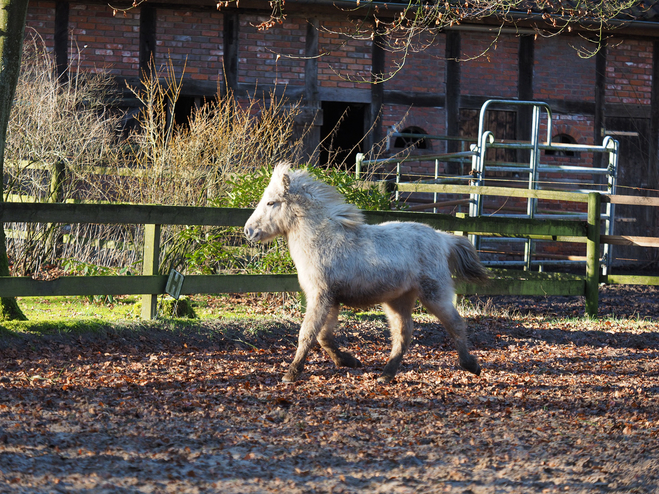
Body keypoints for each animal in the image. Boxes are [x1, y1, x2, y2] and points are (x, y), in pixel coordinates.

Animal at [245, 164, 492, 384]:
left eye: (271, 202)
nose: (249, 231)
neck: (322, 239)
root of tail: (443, 238)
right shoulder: (331, 299)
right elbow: (324, 337)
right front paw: (348, 361)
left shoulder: (320, 296)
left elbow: (307, 334)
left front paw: (291, 374)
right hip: (398, 301)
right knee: (403, 335)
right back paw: (386, 375)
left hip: (434, 295)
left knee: (455, 324)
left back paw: (471, 365)